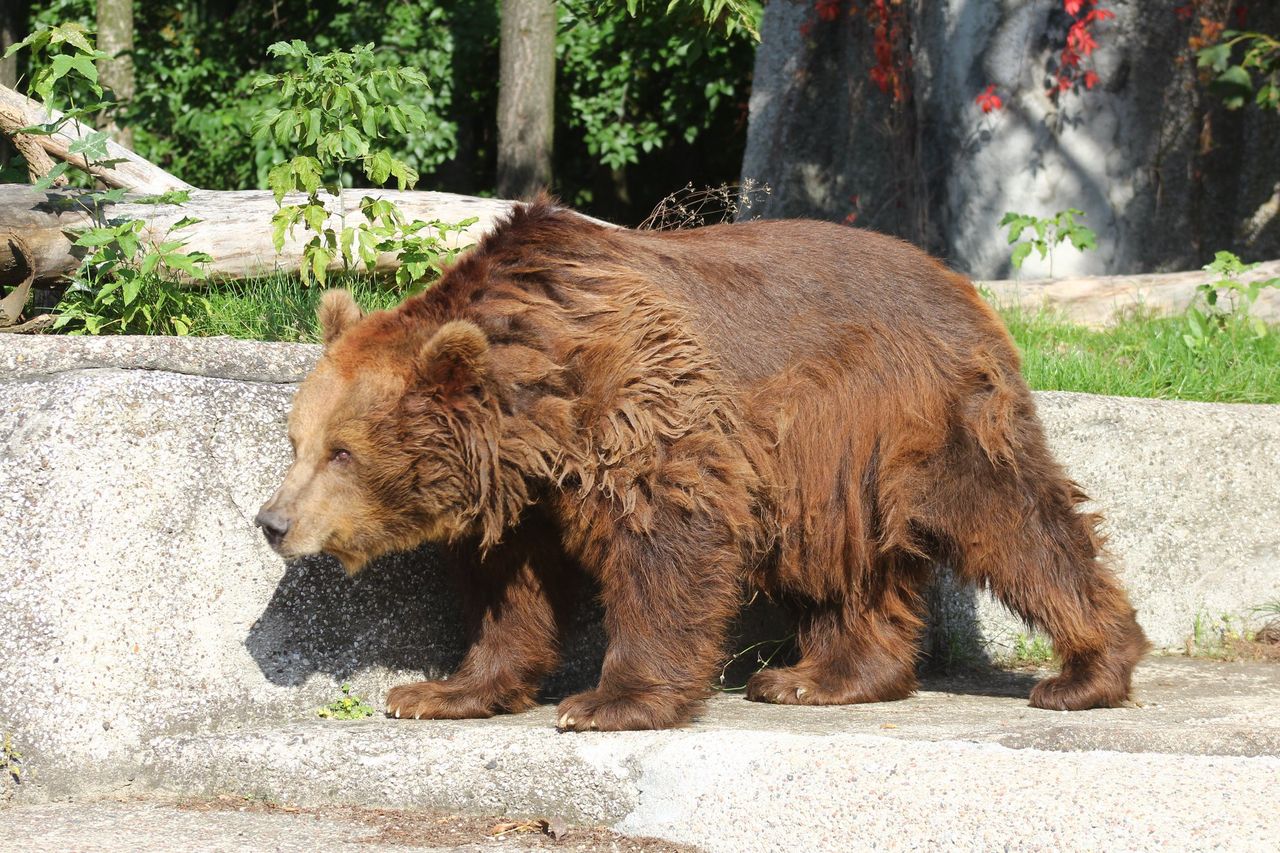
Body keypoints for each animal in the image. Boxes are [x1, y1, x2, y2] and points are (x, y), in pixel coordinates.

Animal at [257, 199, 1152, 732]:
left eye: (343, 450)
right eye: (296, 441)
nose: (272, 521)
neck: (541, 404)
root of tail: (961, 281)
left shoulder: (641, 397)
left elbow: (671, 537)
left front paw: (606, 700)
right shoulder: (527, 491)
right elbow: (509, 590)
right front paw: (437, 690)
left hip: (919, 414)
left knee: (1014, 520)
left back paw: (1087, 670)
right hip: (834, 467)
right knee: (845, 567)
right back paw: (816, 675)